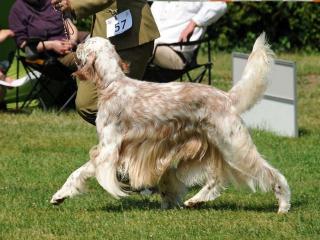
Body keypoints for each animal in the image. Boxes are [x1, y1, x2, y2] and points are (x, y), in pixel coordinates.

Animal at [50, 32, 290, 213]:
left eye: (85, 45)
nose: (74, 44)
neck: (112, 84)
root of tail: (227, 97)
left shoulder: (108, 149)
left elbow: (79, 172)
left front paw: (60, 195)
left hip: (234, 145)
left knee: (269, 173)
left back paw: (284, 203)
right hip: (212, 146)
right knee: (216, 179)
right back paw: (195, 200)